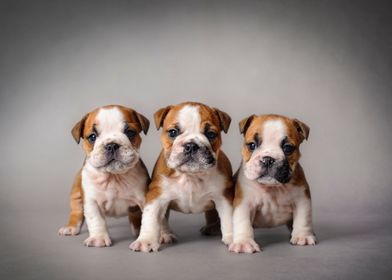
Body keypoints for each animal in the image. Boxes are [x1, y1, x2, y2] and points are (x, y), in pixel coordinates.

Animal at [58, 105, 150, 247]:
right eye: (92, 137)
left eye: (130, 132)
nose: (111, 145)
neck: (113, 176)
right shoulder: (91, 201)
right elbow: (96, 220)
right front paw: (98, 239)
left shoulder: (144, 199)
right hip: (76, 195)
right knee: (76, 212)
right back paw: (71, 227)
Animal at [129, 101, 233, 253]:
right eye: (173, 132)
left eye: (211, 134)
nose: (191, 145)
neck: (190, 175)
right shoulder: (156, 196)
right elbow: (151, 218)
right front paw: (146, 241)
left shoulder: (223, 197)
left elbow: (229, 218)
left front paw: (235, 238)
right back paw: (165, 235)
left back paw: (212, 228)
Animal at [230, 114, 316, 254]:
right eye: (252, 145)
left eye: (287, 148)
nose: (268, 159)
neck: (272, 188)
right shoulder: (244, 203)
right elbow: (243, 222)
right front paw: (244, 242)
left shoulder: (302, 199)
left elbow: (303, 218)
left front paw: (302, 236)